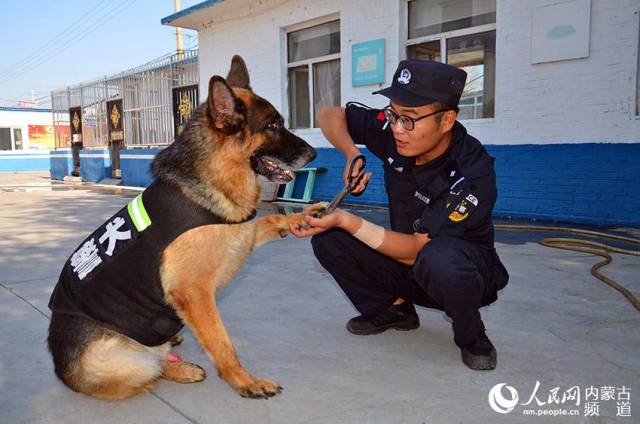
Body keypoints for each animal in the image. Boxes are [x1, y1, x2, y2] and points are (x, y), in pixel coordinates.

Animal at [46, 56, 320, 400]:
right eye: (272, 125)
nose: (315, 153)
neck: (214, 174)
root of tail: (61, 369)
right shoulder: (195, 293)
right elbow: (221, 342)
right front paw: (244, 380)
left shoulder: (240, 235)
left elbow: (269, 220)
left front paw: (301, 218)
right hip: (118, 359)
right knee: (152, 367)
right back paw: (180, 367)